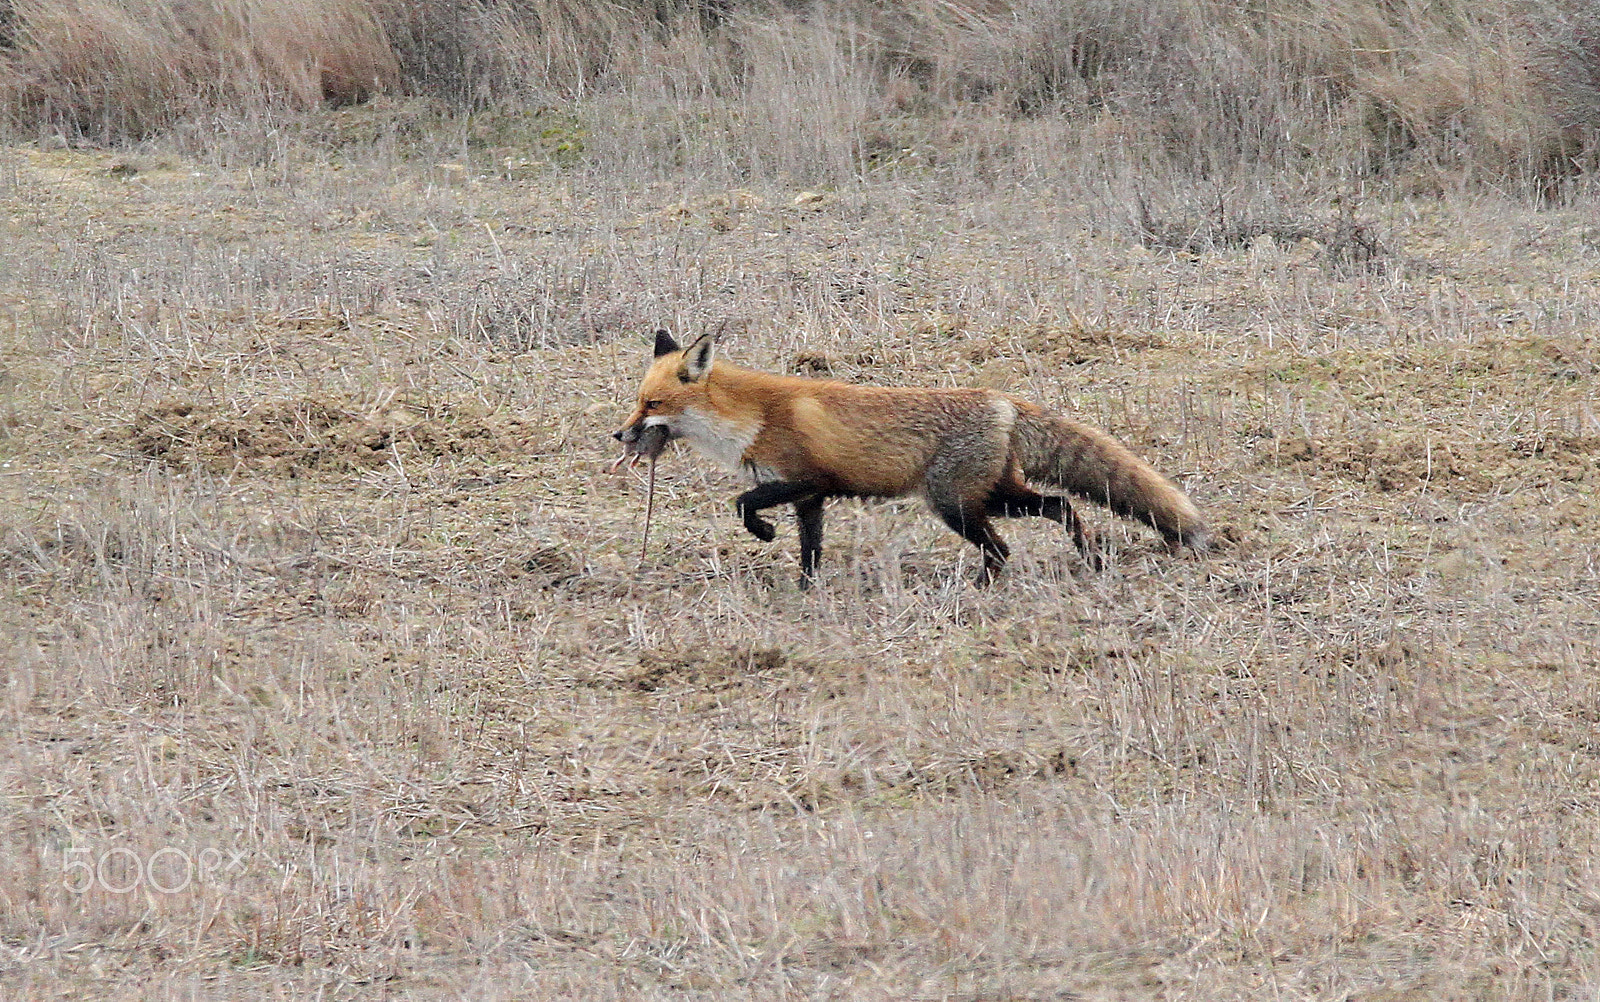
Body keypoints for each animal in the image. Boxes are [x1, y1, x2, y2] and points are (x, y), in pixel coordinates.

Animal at [612, 329, 1209, 586]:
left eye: (652, 404)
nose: (619, 435)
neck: (750, 416)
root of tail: (1001, 400)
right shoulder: (811, 498)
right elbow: (810, 552)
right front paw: (807, 591)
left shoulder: (807, 478)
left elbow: (742, 503)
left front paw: (762, 533)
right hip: (992, 495)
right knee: (1061, 506)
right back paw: (1090, 558)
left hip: (955, 505)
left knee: (1004, 546)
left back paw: (984, 588)